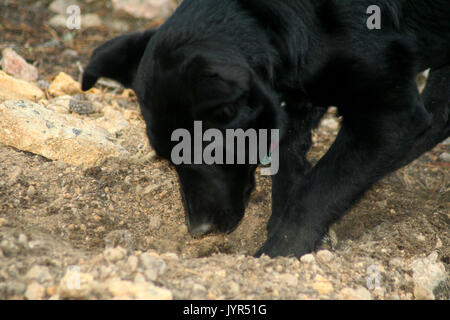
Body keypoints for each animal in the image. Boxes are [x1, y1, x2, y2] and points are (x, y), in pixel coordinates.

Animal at [81, 0, 450, 258]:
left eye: (206, 154)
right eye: (167, 160)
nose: (198, 230)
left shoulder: (390, 113)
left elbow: (316, 189)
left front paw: (280, 252)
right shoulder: (298, 93)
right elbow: (287, 157)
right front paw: (280, 223)